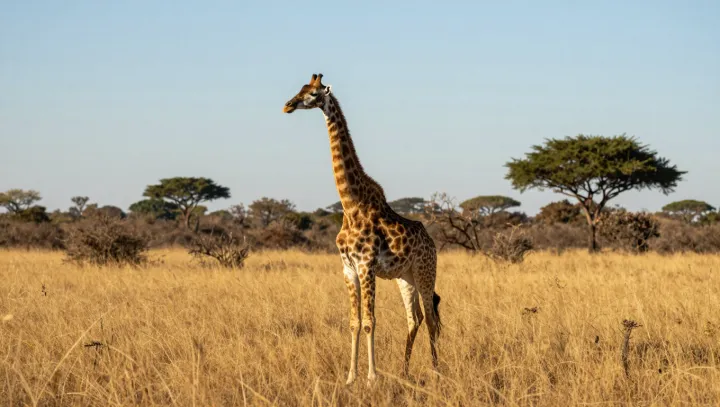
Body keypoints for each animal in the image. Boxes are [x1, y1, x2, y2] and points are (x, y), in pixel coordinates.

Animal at [283, 73, 442, 385]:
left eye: (313, 93)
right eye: (300, 88)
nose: (288, 105)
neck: (350, 203)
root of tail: (432, 243)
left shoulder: (366, 266)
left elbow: (370, 322)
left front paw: (371, 377)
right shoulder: (348, 268)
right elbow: (354, 322)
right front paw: (350, 377)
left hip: (425, 271)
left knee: (430, 317)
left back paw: (436, 370)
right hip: (404, 277)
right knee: (414, 317)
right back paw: (404, 371)